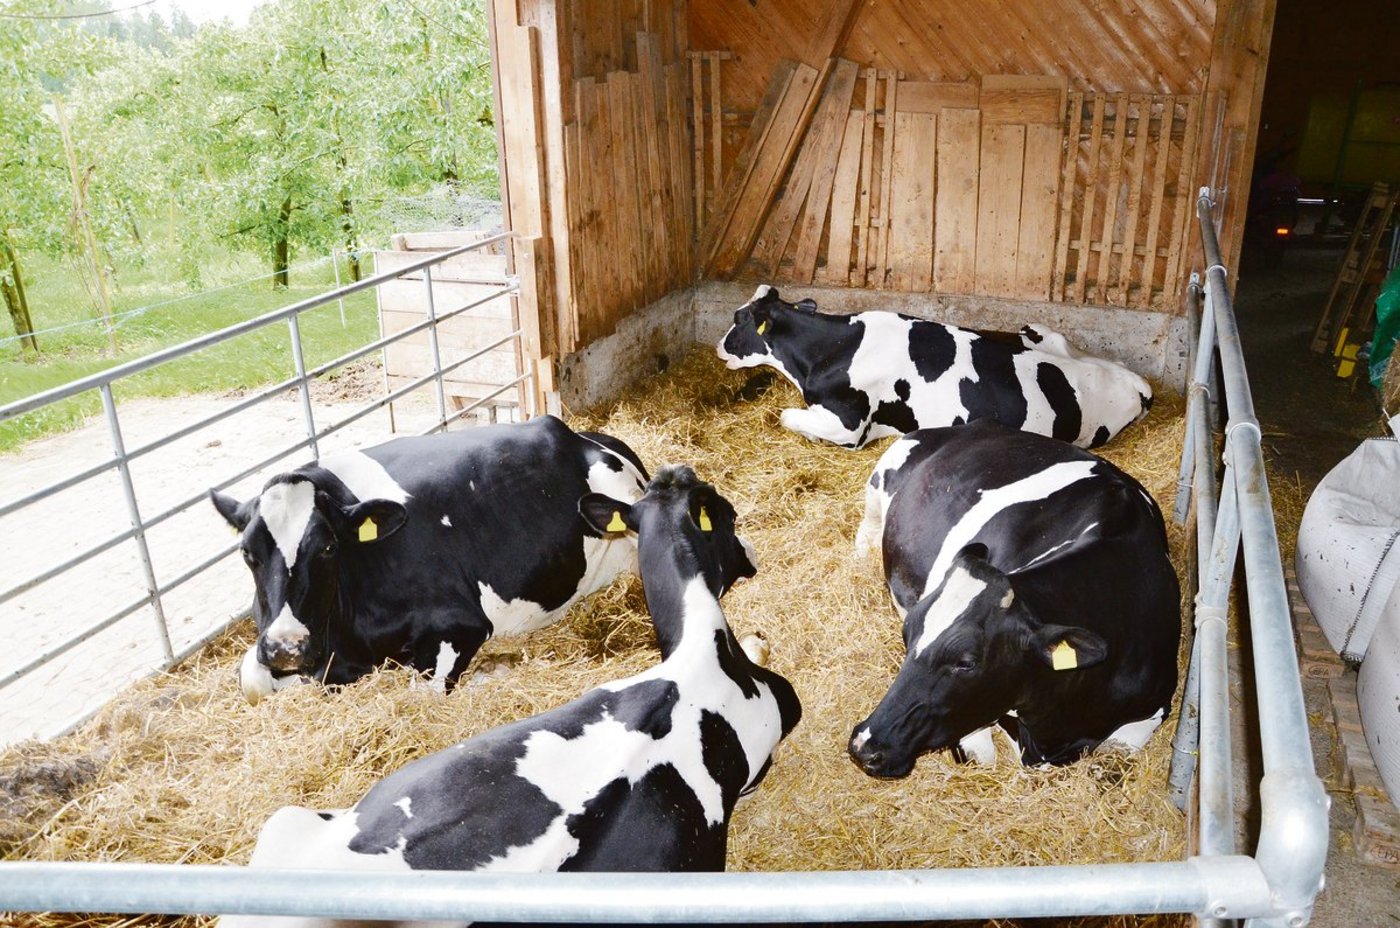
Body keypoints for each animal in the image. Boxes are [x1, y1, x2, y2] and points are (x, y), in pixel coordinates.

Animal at [209, 415, 649, 703]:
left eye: (328, 548)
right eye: (247, 553)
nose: (287, 647)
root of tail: (577, 434)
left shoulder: (462, 623)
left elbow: (422, 693)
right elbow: (251, 679)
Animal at [715, 285, 1153, 450]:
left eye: (738, 319)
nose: (719, 346)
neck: (835, 348)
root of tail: (1139, 385)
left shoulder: (847, 425)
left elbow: (786, 416)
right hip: (1049, 338)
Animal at [847, 421, 1180, 775]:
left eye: (966, 662)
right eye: (906, 634)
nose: (865, 745)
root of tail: (969, 426)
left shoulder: (1155, 706)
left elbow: (1117, 754)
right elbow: (981, 754)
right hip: (880, 481)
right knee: (868, 529)